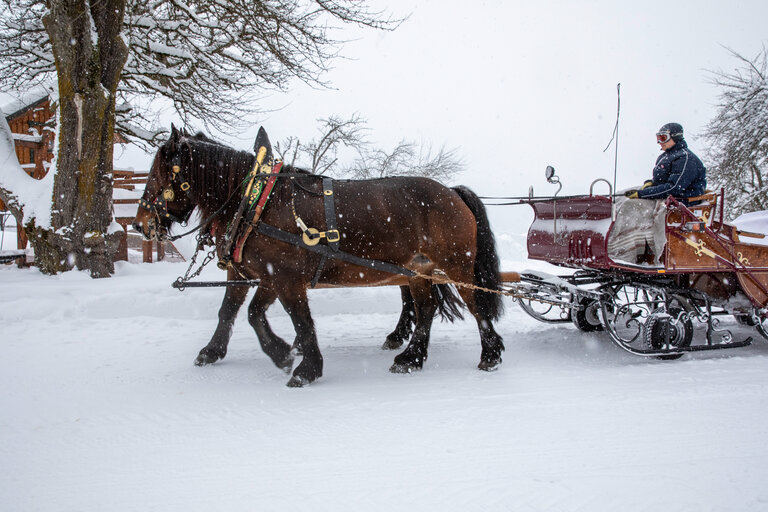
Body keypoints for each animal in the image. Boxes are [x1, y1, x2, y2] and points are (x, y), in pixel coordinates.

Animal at [133, 126, 505, 387]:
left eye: (157, 174)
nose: (140, 224)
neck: (257, 203)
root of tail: (452, 192)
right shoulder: (259, 273)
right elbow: (236, 312)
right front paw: (220, 351)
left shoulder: (285, 277)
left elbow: (298, 319)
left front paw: (303, 366)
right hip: (418, 271)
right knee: (425, 310)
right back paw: (411, 358)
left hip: (456, 266)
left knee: (477, 306)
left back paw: (490, 353)